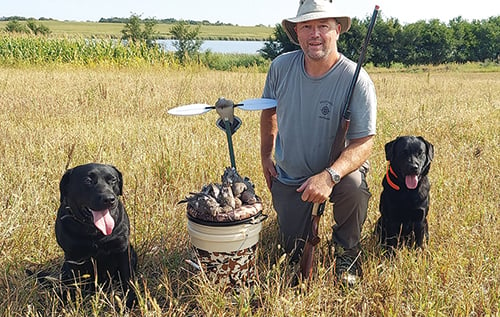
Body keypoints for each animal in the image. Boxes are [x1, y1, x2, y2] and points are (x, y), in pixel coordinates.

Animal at [56, 163, 137, 306]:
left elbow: (127, 278)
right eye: (87, 180)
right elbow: (74, 284)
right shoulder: (73, 258)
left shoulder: (122, 250)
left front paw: (130, 300)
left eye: (113, 179)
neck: (95, 234)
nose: (109, 199)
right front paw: (73, 304)